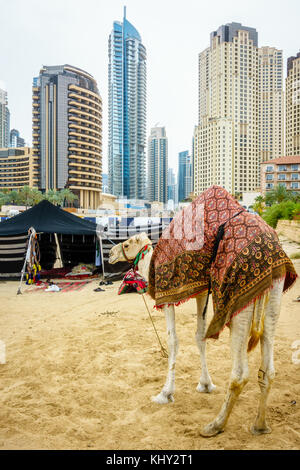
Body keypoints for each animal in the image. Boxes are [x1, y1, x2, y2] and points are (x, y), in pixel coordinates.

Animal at [109, 231, 286, 436]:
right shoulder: (201, 293)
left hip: (241, 306)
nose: (110, 254)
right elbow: (200, 336)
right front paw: (206, 384)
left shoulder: (168, 297)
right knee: (268, 369)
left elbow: (173, 341)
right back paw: (260, 425)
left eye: (127, 244)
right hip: (274, 294)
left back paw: (215, 425)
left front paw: (165, 393)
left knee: (240, 374)